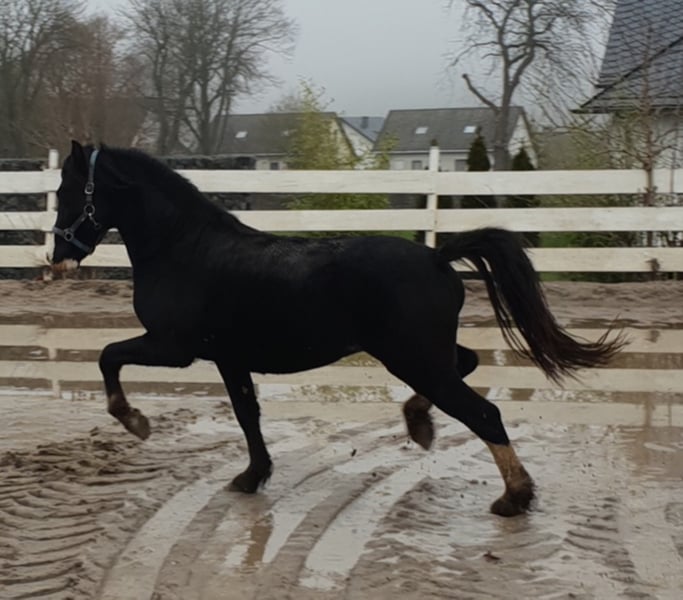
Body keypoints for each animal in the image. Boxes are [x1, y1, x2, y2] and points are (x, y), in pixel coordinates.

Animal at [51, 141, 624, 517]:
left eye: (69, 188)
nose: (58, 254)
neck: (183, 248)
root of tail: (438, 258)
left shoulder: (174, 347)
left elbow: (108, 354)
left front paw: (134, 421)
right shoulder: (229, 358)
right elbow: (247, 415)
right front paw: (252, 476)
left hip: (412, 356)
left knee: (484, 412)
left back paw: (514, 496)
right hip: (421, 354)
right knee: (467, 364)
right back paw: (420, 424)